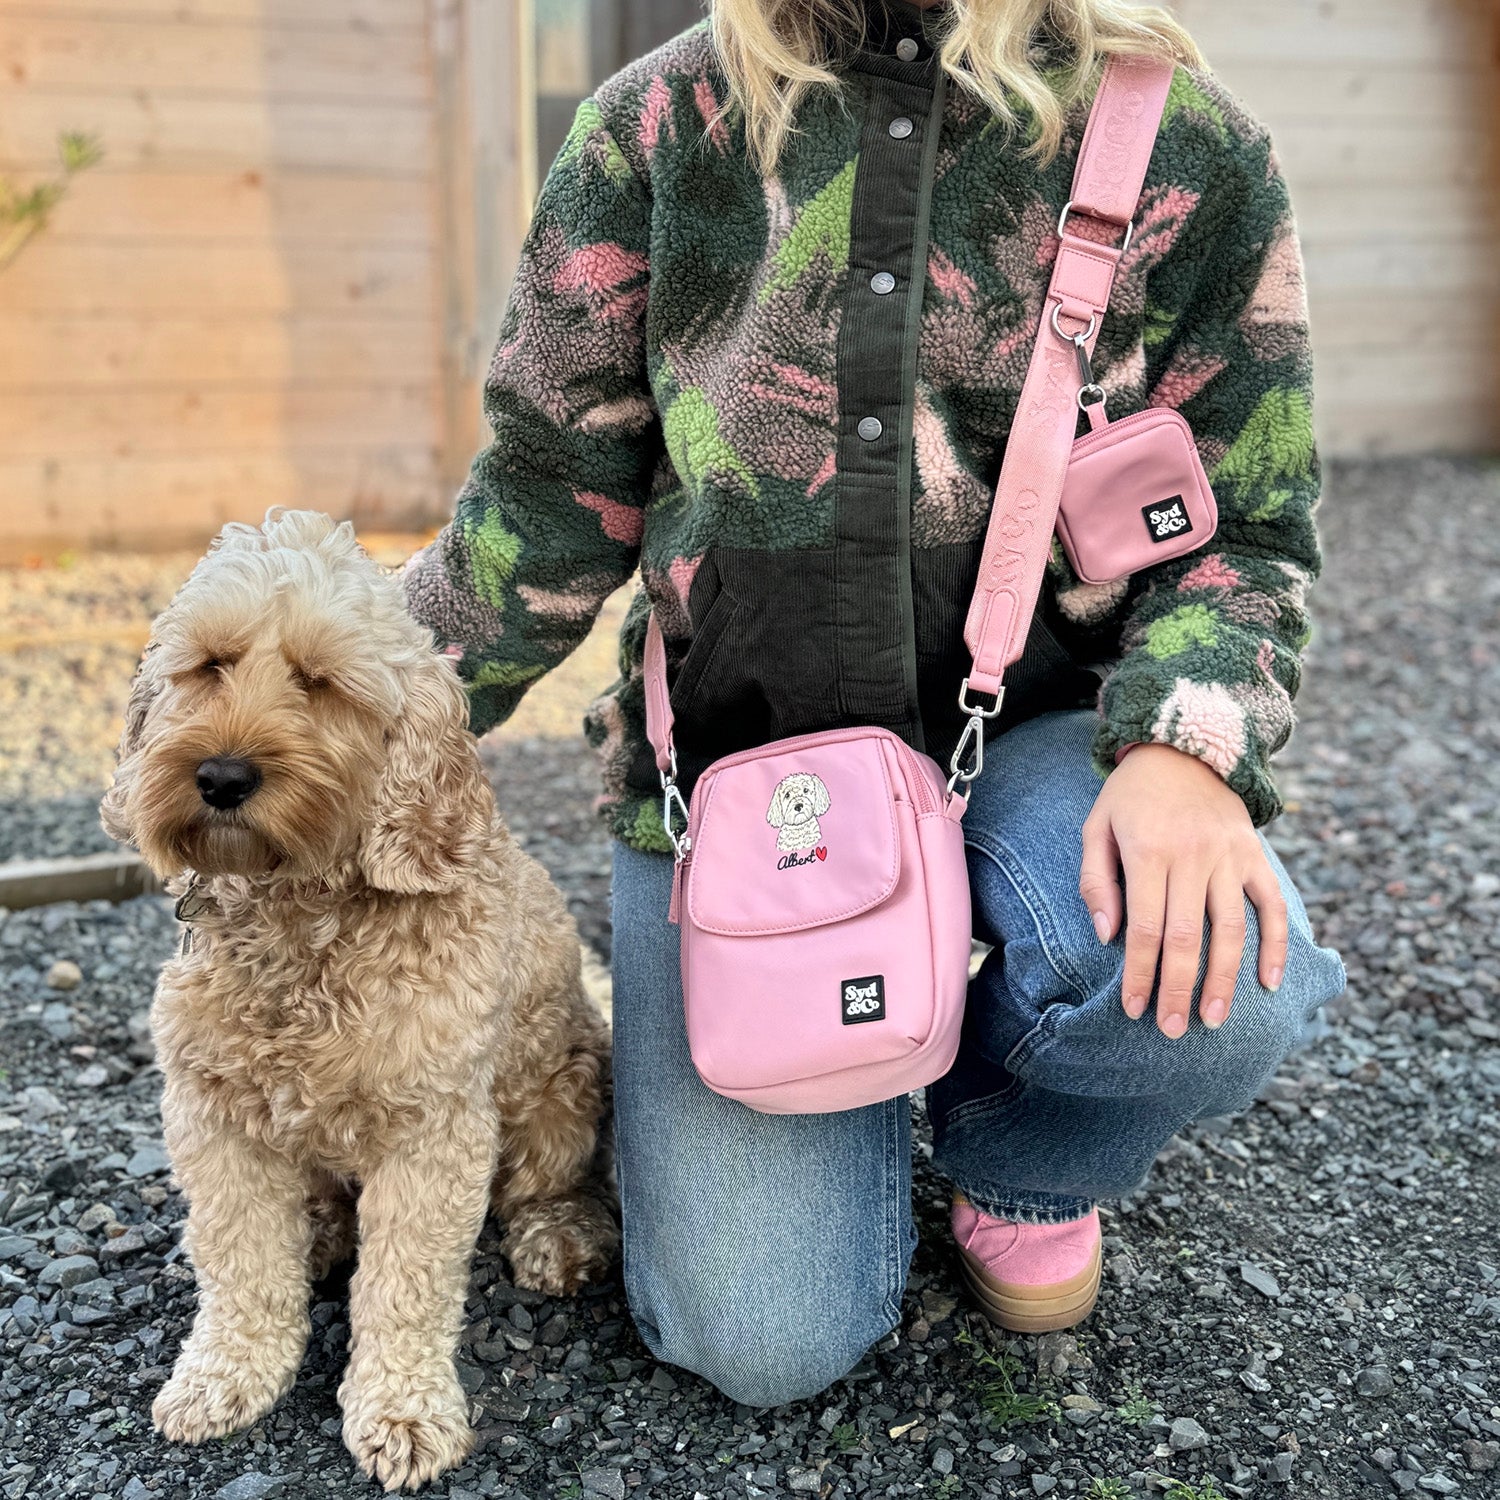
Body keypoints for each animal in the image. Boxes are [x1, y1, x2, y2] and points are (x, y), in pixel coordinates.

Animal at [101, 513, 615, 1488]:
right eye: (211, 664)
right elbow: (239, 1261)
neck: (302, 919)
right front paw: (225, 1374)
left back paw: (559, 1238)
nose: (221, 776)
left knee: (547, 1183)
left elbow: (405, 1284)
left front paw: (403, 1410)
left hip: (562, 1089)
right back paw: (319, 1231)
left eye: (321, 681)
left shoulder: (435, 1129)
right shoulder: (210, 1115)